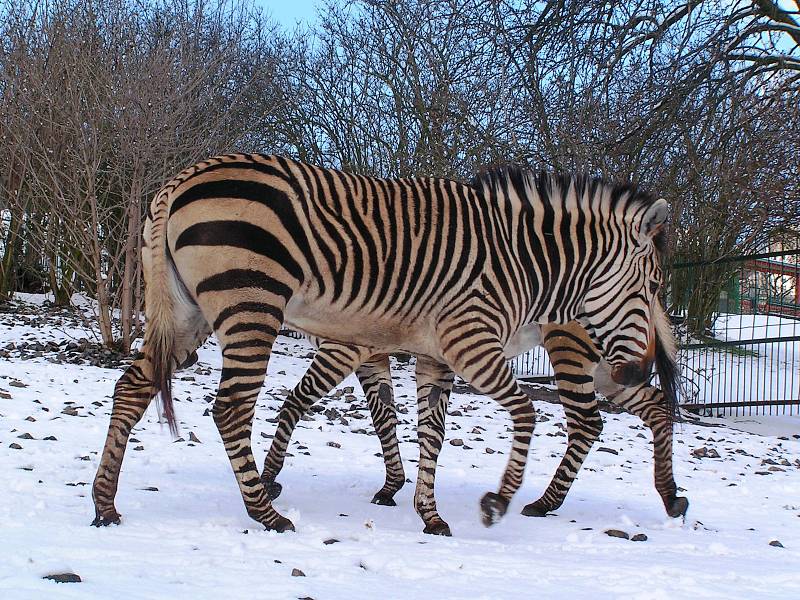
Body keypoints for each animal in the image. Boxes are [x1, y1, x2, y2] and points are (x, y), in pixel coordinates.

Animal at [260, 310, 680, 536]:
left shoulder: (347, 346)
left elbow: (295, 401)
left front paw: (270, 478)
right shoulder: (373, 354)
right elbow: (384, 418)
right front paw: (392, 485)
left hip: (571, 346)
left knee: (587, 423)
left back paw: (544, 503)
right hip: (612, 365)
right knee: (657, 406)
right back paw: (670, 496)